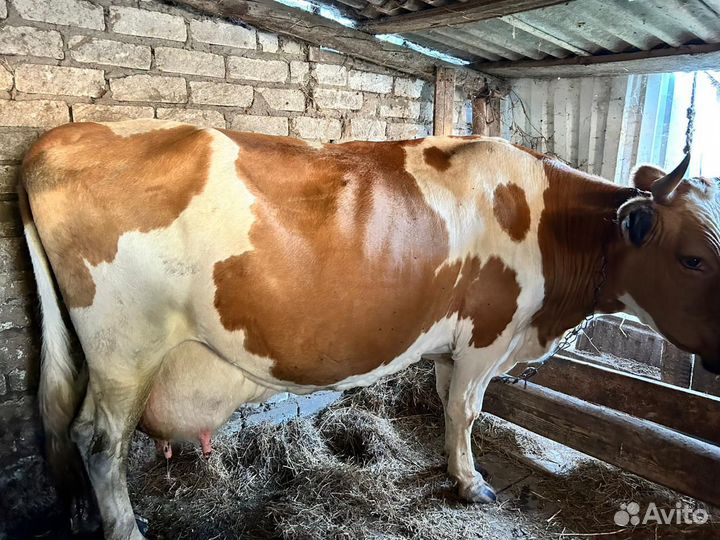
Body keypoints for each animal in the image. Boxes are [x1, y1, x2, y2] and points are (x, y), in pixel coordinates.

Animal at [18, 119, 719, 540]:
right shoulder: (488, 336)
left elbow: (445, 405)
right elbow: (468, 410)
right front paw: (472, 484)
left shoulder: (452, 342)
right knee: (100, 442)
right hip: (124, 349)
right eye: (693, 258)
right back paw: (127, 529)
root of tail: (64, 136)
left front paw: (452, 468)